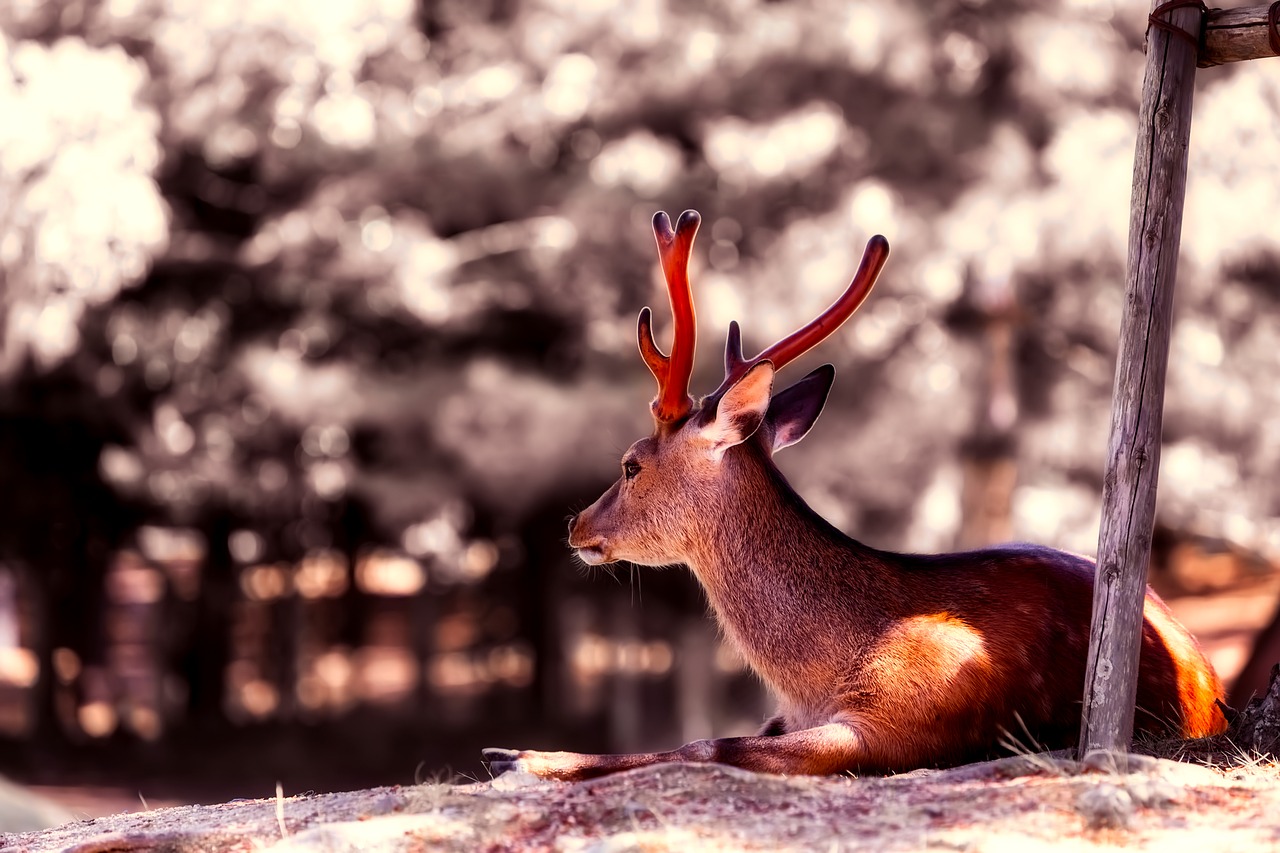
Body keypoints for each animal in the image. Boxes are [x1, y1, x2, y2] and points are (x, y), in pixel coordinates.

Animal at [481, 207, 1228, 778]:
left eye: (631, 464)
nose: (576, 525)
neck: (818, 674)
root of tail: (1214, 677)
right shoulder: (787, 713)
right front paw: (516, 750)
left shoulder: (899, 721)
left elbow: (706, 742)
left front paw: (520, 757)